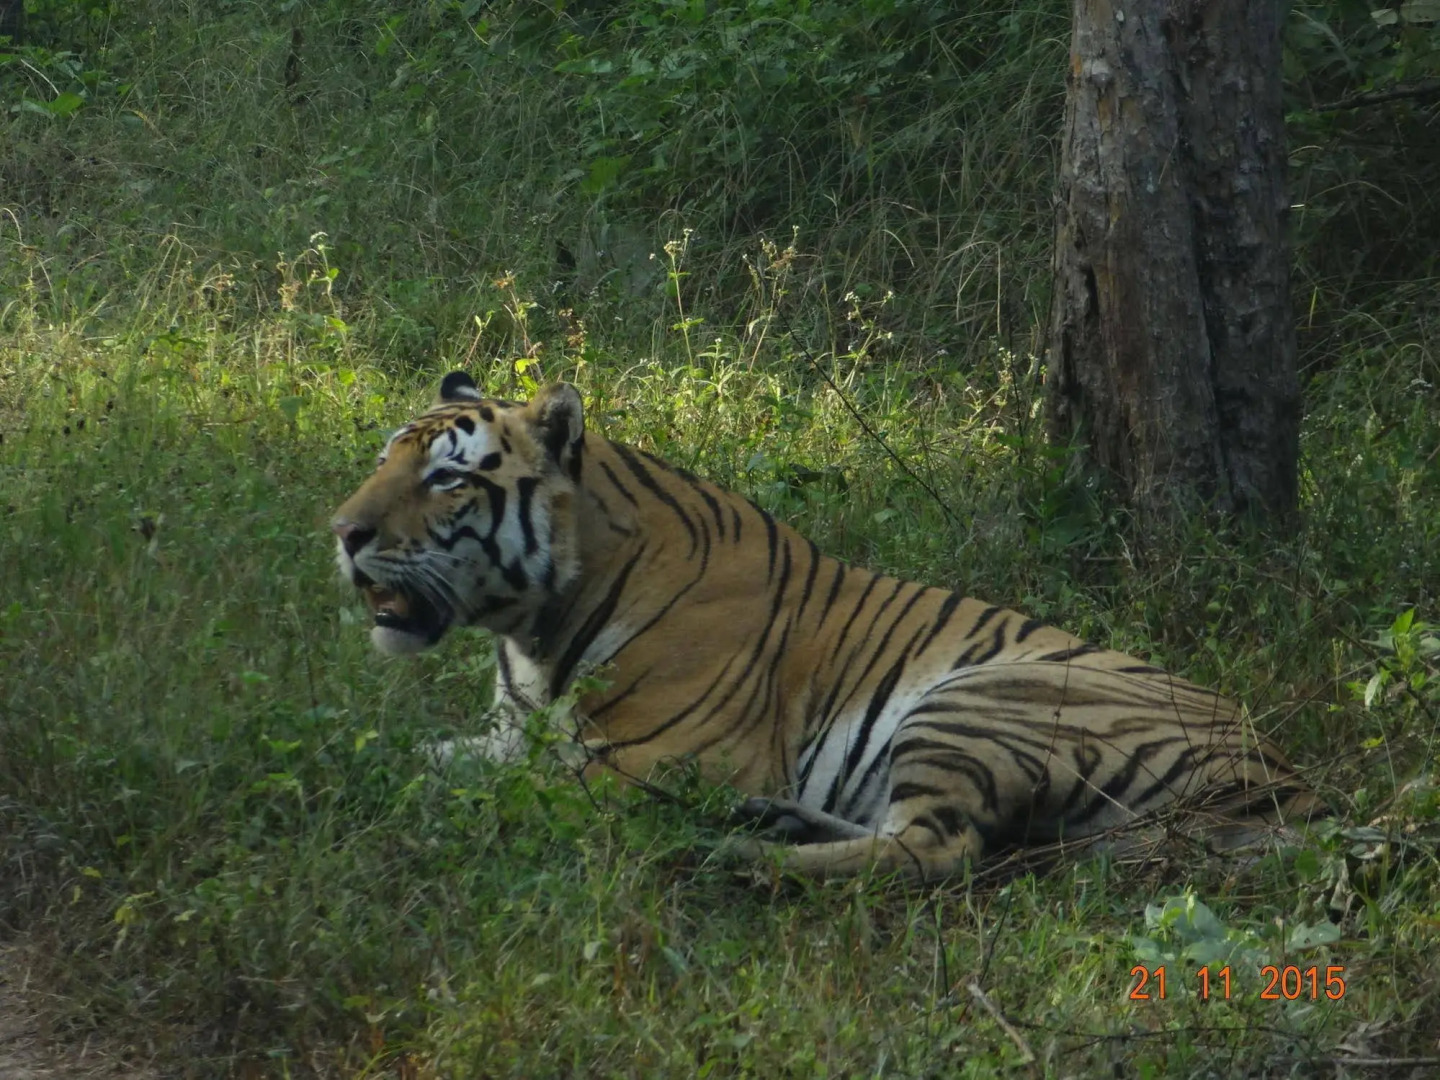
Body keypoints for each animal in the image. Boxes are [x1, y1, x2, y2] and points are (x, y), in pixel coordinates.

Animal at [331, 371, 1323, 879]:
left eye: (447, 478)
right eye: (385, 459)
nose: (341, 532)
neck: (534, 627)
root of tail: (1284, 774)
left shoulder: (659, 760)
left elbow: (507, 794)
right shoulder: (511, 733)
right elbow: (410, 754)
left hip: (978, 699)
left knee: (938, 850)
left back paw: (739, 852)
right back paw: (772, 825)